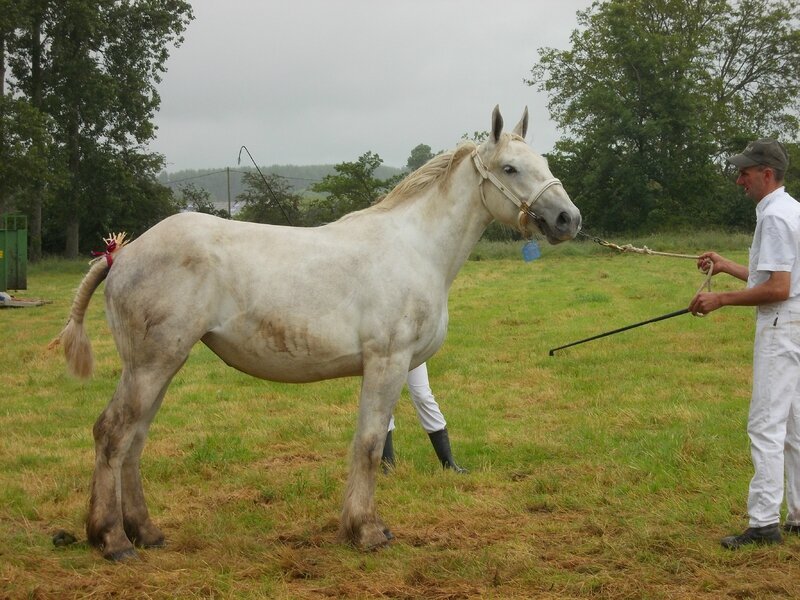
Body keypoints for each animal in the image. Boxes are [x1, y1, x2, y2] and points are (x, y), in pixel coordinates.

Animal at [56, 105, 580, 560]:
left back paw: (146, 533)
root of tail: (122, 254)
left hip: (162, 365)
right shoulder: (387, 363)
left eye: (544, 163)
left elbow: (372, 443)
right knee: (113, 434)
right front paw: (366, 532)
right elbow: (368, 445)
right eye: (510, 168)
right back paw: (112, 540)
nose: (567, 219)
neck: (415, 247)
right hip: (151, 365)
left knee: (134, 441)